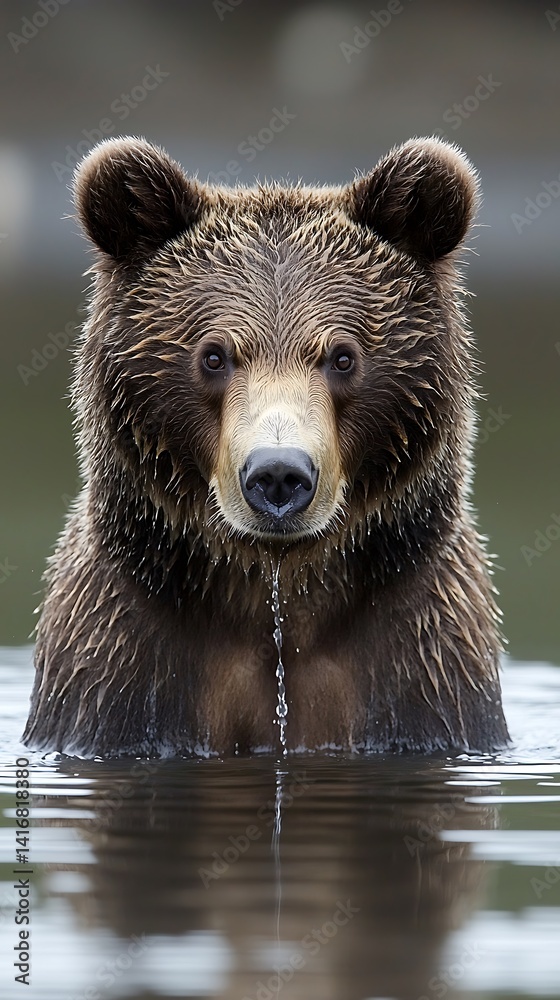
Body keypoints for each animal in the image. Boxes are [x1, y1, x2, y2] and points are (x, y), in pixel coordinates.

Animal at [23, 134, 509, 757]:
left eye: (343, 356)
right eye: (213, 355)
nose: (278, 474)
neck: (274, 590)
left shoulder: (423, 663)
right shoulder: (122, 665)